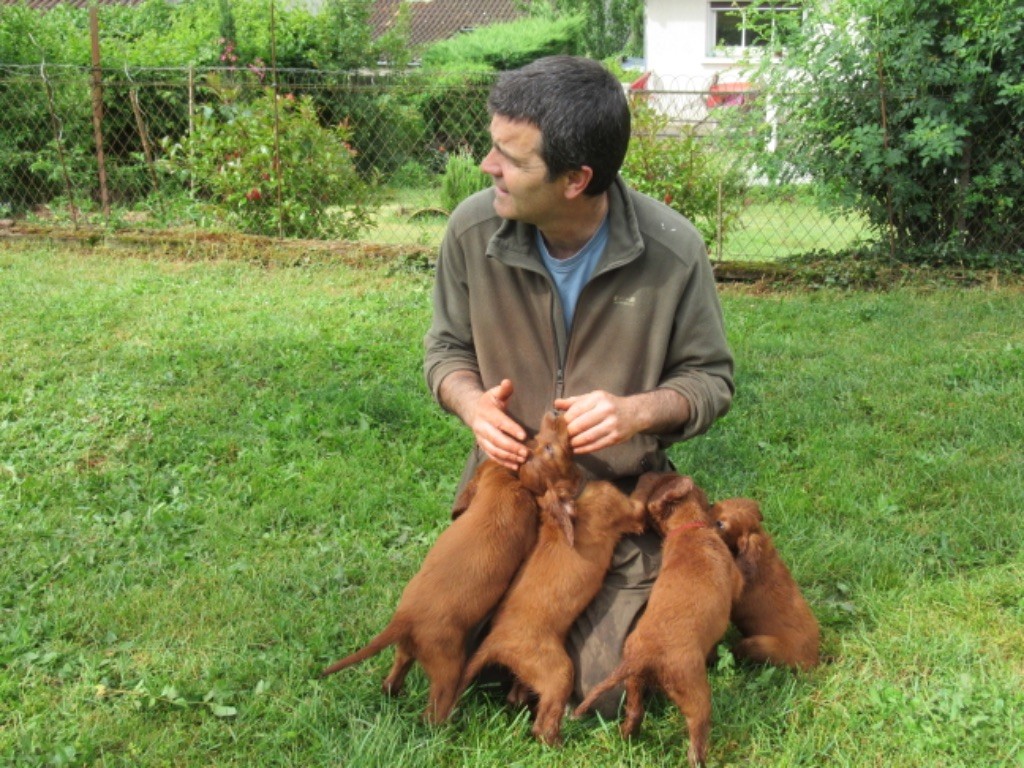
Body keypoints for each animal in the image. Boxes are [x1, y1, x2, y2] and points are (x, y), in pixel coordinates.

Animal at [460, 415, 643, 745]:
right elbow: (644, 500)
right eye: (548, 448)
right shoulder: (628, 510)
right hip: (559, 673)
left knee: (519, 698)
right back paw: (560, 743)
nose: (554, 415)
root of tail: (495, 642)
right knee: (544, 725)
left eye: (536, 442)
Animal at [573, 475, 741, 768]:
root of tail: (641, 656)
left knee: (634, 715)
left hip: (634, 684)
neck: (689, 528)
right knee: (696, 735)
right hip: (695, 694)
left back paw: (626, 741)